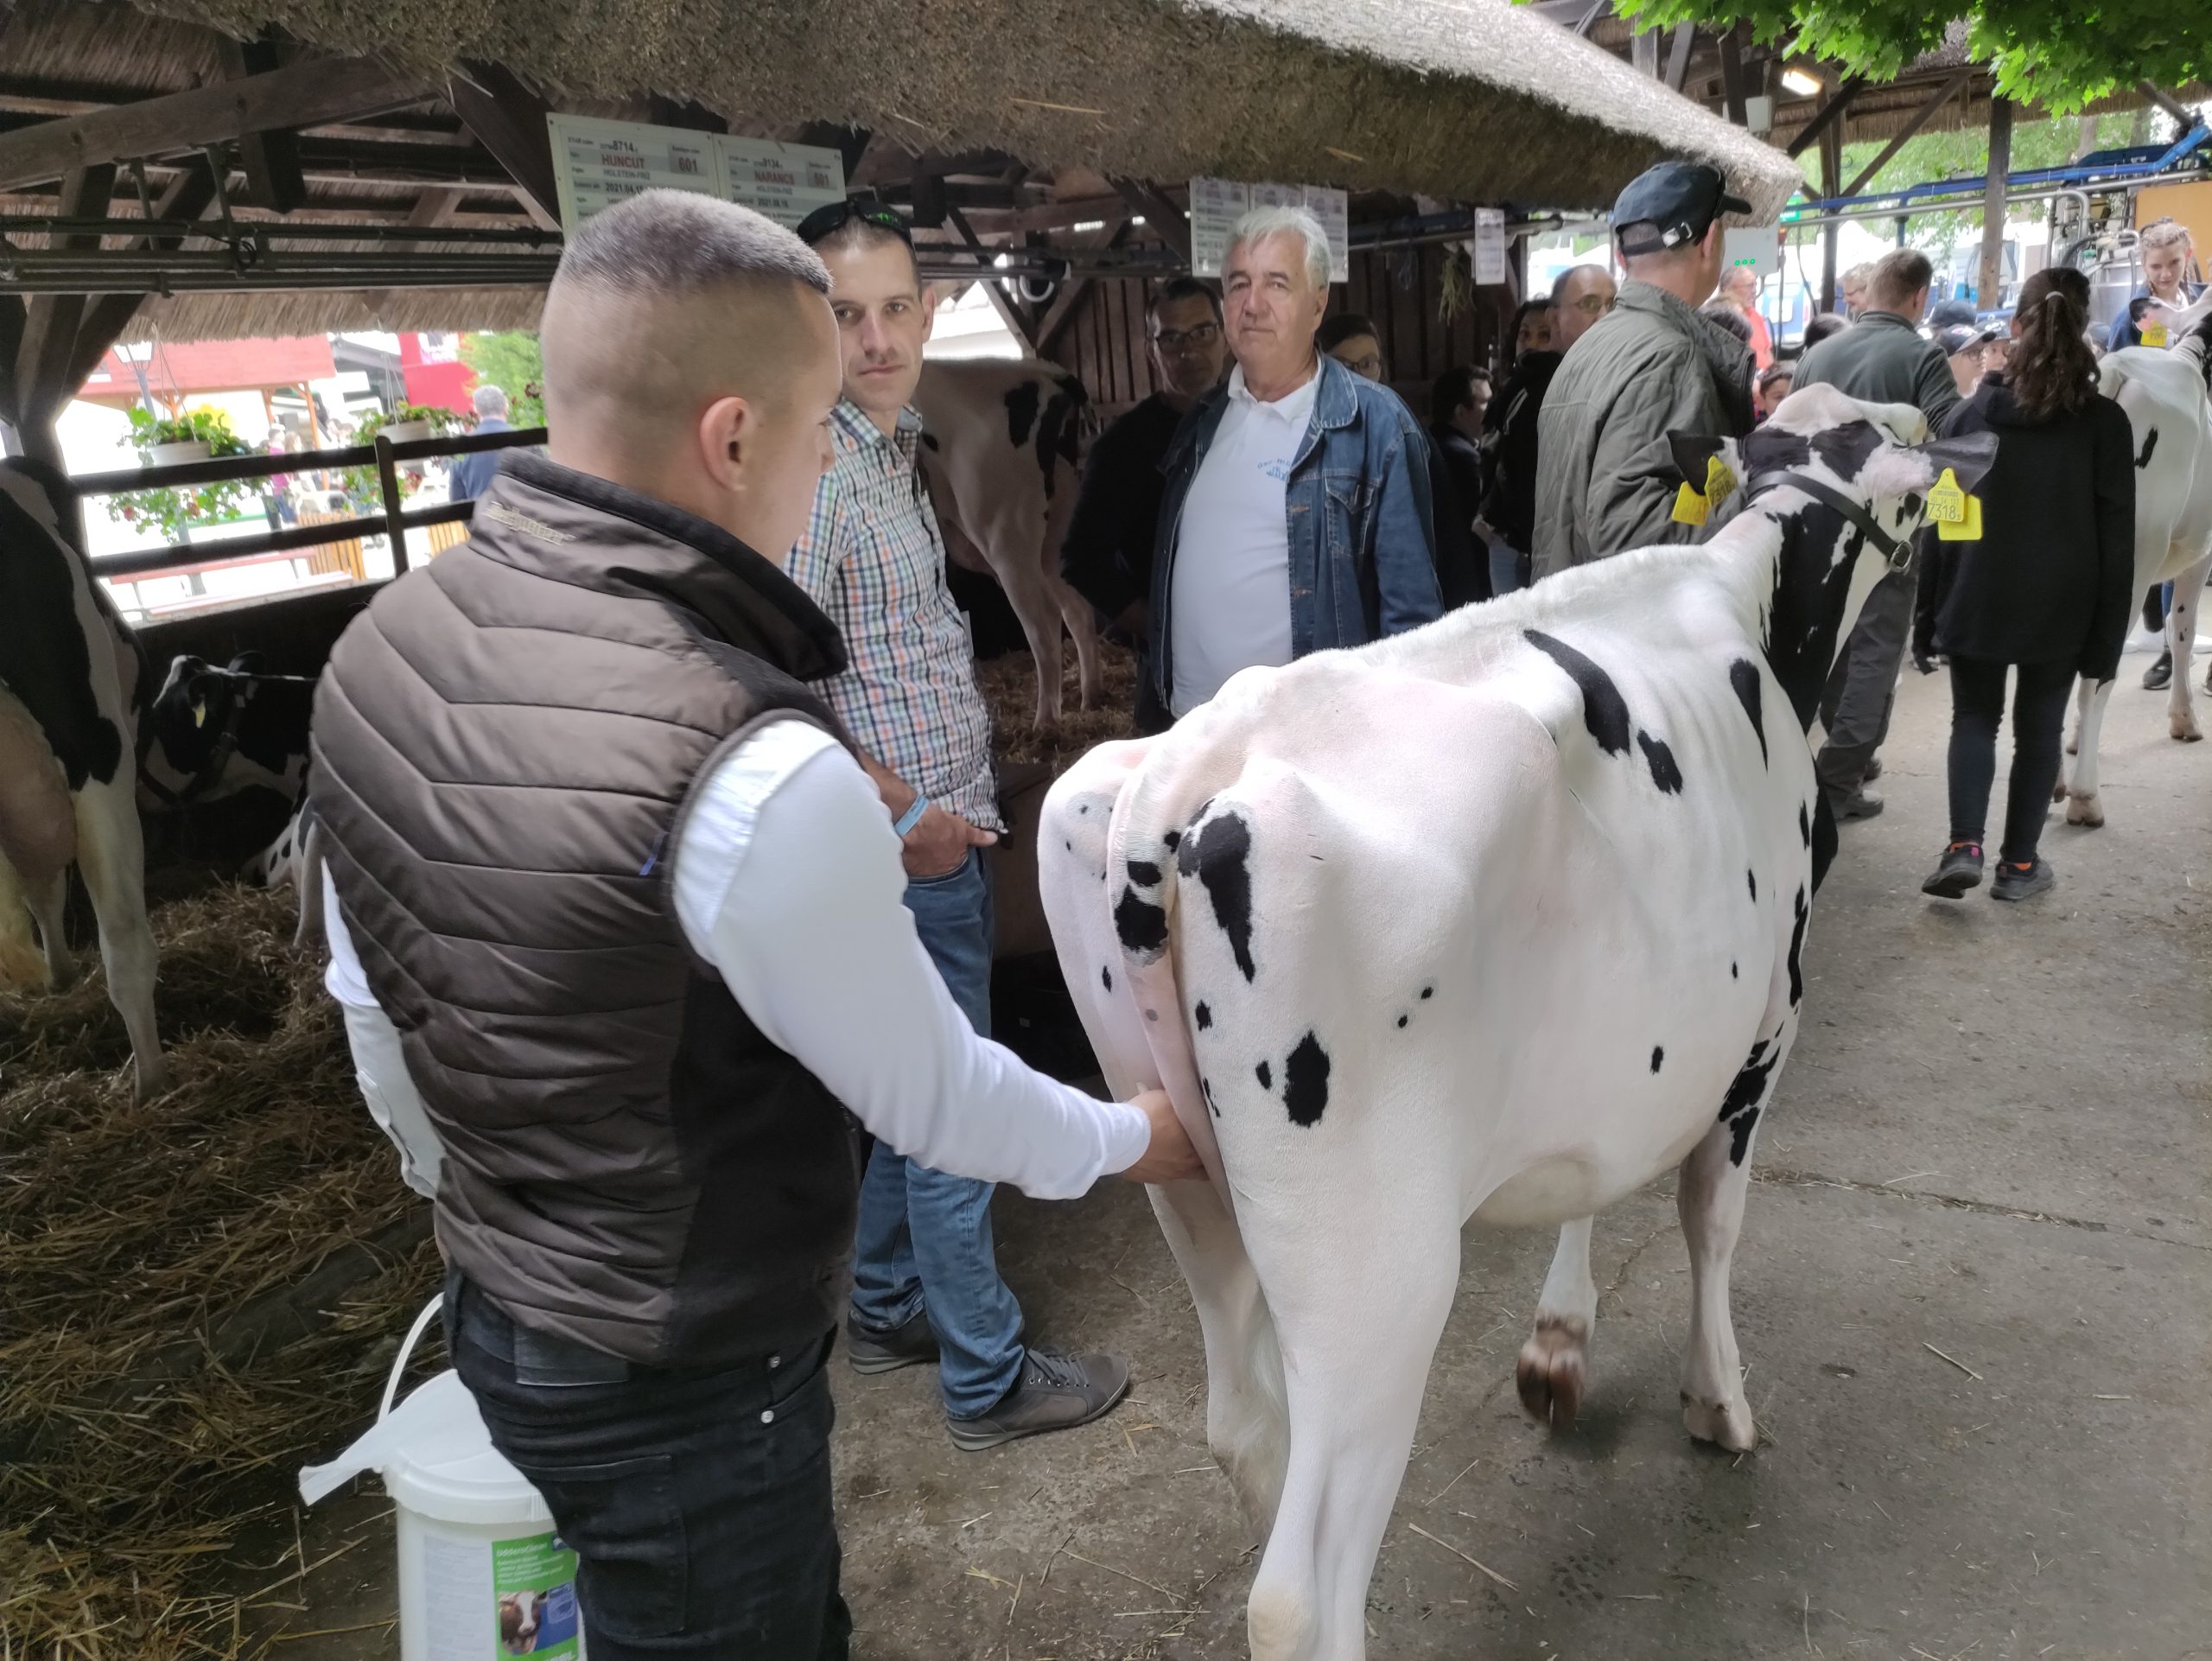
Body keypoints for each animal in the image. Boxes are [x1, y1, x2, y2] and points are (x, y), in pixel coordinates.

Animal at [906, 360, 1096, 725]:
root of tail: (1046, 372)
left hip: (1005, 532)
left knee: (1042, 620)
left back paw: (1045, 721)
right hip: (1055, 528)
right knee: (1076, 607)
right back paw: (1090, 697)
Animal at [1039, 386, 2008, 1661]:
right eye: (1900, 467)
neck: (1745, 603)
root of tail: (1192, 758)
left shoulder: (1618, 1053)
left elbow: (1593, 1179)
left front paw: (1558, 1344)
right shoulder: (1766, 1025)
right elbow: (1711, 1218)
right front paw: (1719, 1400)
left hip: (1182, 1185)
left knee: (1246, 1431)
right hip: (1376, 1276)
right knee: (1300, 1588)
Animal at [2052, 305, 2212, 827]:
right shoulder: (2200, 549)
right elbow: (2181, 630)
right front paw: (2184, 717)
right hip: (2135, 558)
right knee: (2098, 673)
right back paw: (2085, 797)